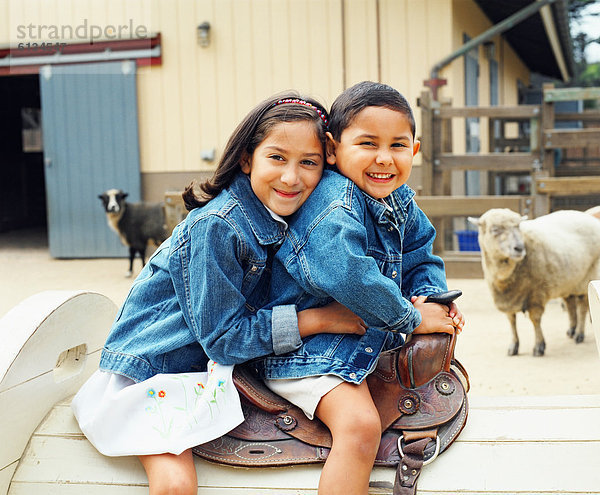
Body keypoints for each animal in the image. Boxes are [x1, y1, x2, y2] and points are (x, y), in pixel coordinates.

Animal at [468, 209, 600, 356]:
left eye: (518, 226)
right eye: (495, 229)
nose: (519, 248)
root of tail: (587, 216)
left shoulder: (536, 294)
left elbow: (535, 320)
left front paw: (539, 346)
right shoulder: (508, 299)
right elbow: (511, 321)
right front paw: (513, 345)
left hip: (587, 276)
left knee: (582, 308)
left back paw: (579, 334)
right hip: (569, 280)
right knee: (570, 303)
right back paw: (571, 329)